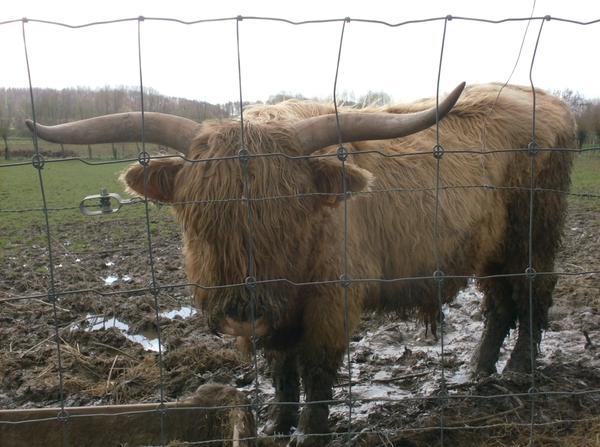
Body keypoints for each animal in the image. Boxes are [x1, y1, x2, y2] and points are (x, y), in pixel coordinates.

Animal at [28, 82, 576, 446]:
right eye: (198, 216)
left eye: (288, 214)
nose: (240, 309)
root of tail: (548, 100)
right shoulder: (275, 319)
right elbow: (281, 371)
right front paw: (278, 424)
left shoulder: (330, 305)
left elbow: (315, 372)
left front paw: (310, 433)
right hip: (491, 247)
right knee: (500, 303)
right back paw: (478, 371)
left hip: (534, 232)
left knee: (535, 290)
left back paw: (519, 371)